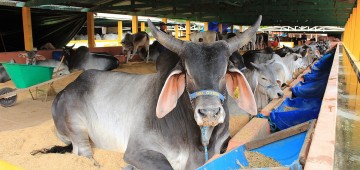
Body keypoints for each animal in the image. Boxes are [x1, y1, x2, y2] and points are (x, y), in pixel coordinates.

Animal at [31, 16, 262, 169]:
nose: (210, 113)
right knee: (82, 152)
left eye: (224, 72)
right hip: (76, 125)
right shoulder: (137, 151)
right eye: (188, 73)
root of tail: (65, 90)